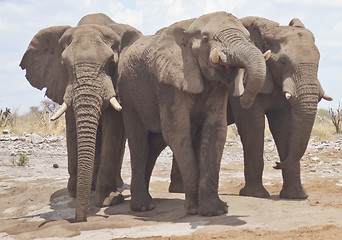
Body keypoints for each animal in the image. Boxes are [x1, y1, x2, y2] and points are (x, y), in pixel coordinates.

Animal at [20, 13, 142, 221]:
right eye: (64, 65)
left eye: (111, 63)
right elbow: (72, 127)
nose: (80, 219)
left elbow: (112, 127)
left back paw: (115, 185)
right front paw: (74, 192)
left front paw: (109, 199)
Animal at [117, 12, 268, 217]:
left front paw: (214, 211)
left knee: (153, 144)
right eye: (205, 39)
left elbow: (216, 131)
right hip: (129, 94)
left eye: (248, 38)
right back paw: (143, 207)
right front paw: (194, 210)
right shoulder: (169, 82)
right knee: (139, 142)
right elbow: (177, 131)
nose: (244, 100)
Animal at [226, 16, 332, 199]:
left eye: (318, 62)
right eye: (282, 62)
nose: (276, 163)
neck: (271, 29)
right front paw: (256, 195)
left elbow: (284, 127)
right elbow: (252, 126)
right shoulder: (242, 81)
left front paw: (295, 197)